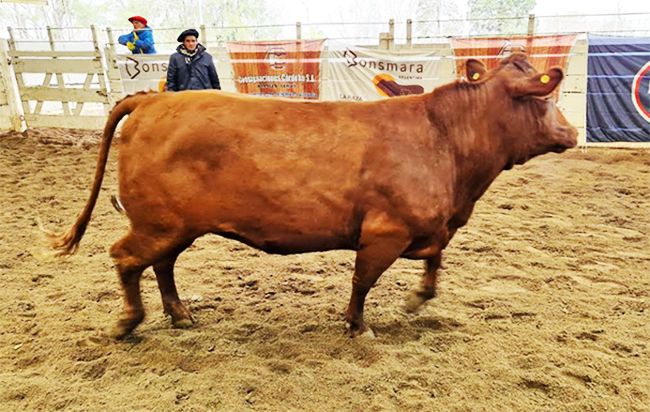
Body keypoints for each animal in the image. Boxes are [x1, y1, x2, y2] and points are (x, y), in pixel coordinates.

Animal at [52, 54, 576, 338]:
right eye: (544, 98)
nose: (572, 133)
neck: (443, 138)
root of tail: (154, 98)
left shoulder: (430, 227)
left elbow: (433, 263)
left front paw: (416, 298)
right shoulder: (385, 232)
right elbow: (363, 281)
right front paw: (359, 325)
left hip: (173, 226)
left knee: (160, 265)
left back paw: (180, 314)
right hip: (157, 222)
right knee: (126, 258)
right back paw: (128, 322)